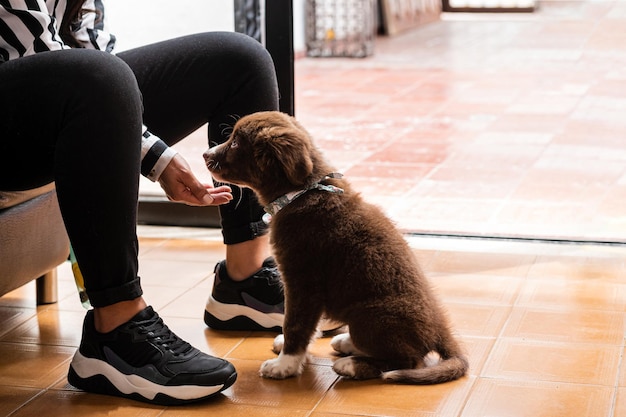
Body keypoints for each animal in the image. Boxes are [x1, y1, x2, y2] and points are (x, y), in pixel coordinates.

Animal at [202, 111, 466, 384]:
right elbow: (307, 325)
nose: (205, 155)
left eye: (235, 143)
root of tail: (441, 332)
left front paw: (285, 365)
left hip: (369, 317)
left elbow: (295, 324)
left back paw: (352, 365)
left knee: (409, 361)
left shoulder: (303, 281)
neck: (300, 192)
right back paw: (348, 344)